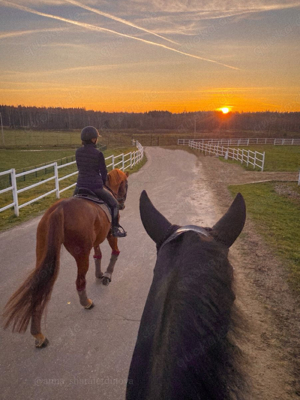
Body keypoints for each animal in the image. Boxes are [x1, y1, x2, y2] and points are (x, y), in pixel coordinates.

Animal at [2, 168, 128, 346]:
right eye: (125, 185)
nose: (121, 204)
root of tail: (59, 209)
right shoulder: (110, 235)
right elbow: (114, 252)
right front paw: (107, 276)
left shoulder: (97, 239)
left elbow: (98, 255)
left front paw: (99, 274)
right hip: (81, 253)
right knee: (80, 281)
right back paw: (86, 303)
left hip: (43, 250)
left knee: (39, 287)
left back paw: (38, 335)